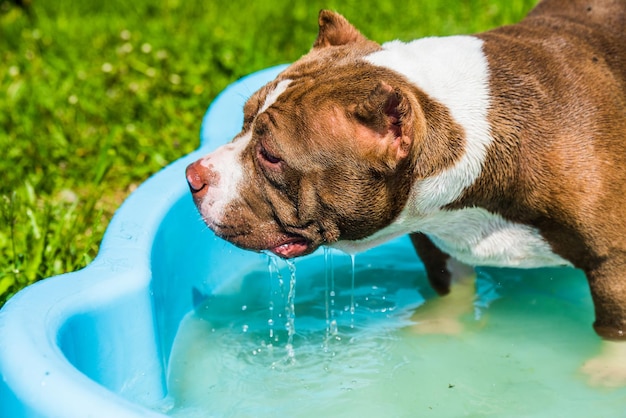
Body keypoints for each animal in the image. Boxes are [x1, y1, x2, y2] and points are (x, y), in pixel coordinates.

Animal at [185, 0, 624, 342]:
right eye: (244, 119)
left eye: (270, 155)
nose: (193, 175)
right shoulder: (435, 240)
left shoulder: (614, 265)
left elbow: (611, 333)